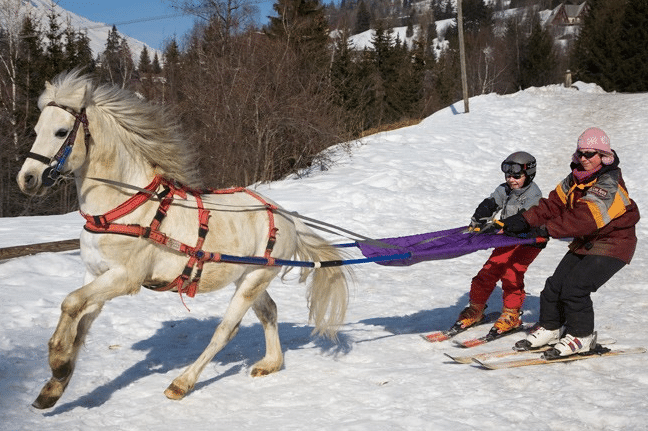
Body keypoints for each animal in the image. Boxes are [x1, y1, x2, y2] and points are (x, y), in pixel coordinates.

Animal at [15, 70, 350, 408]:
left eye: (60, 132)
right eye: (36, 129)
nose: (27, 179)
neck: (121, 208)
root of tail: (284, 214)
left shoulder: (125, 278)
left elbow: (70, 303)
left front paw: (58, 363)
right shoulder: (95, 273)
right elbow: (81, 322)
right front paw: (54, 386)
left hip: (253, 280)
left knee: (226, 330)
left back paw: (182, 382)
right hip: (248, 277)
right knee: (269, 312)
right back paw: (271, 363)